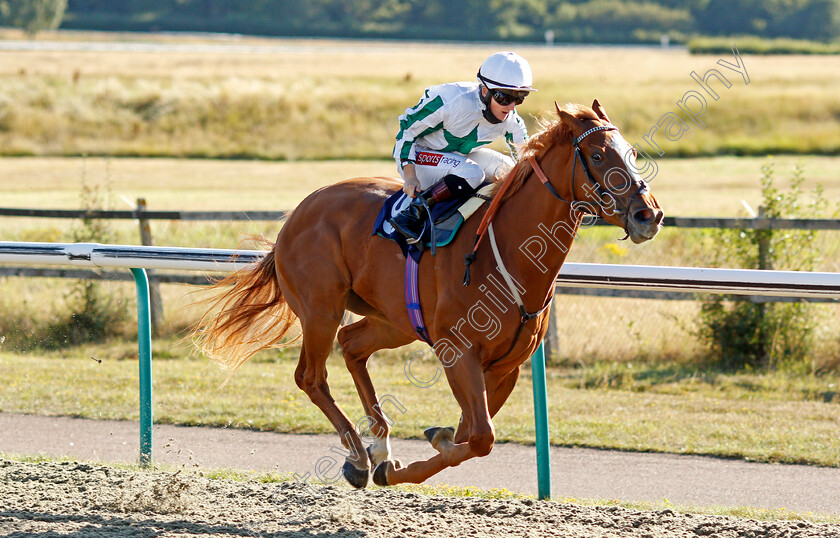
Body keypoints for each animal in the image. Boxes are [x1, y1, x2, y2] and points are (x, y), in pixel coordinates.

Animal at [195, 98, 664, 488]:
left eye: (631, 152)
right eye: (598, 155)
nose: (649, 214)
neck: (506, 256)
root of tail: (295, 216)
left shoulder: (506, 366)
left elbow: (471, 432)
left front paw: (423, 445)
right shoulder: (457, 351)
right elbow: (480, 437)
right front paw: (408, 457)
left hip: (393, 320)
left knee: (352, 345)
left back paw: (379, 444)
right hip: (320, 309)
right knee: (311, 376)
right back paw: (359, 457)